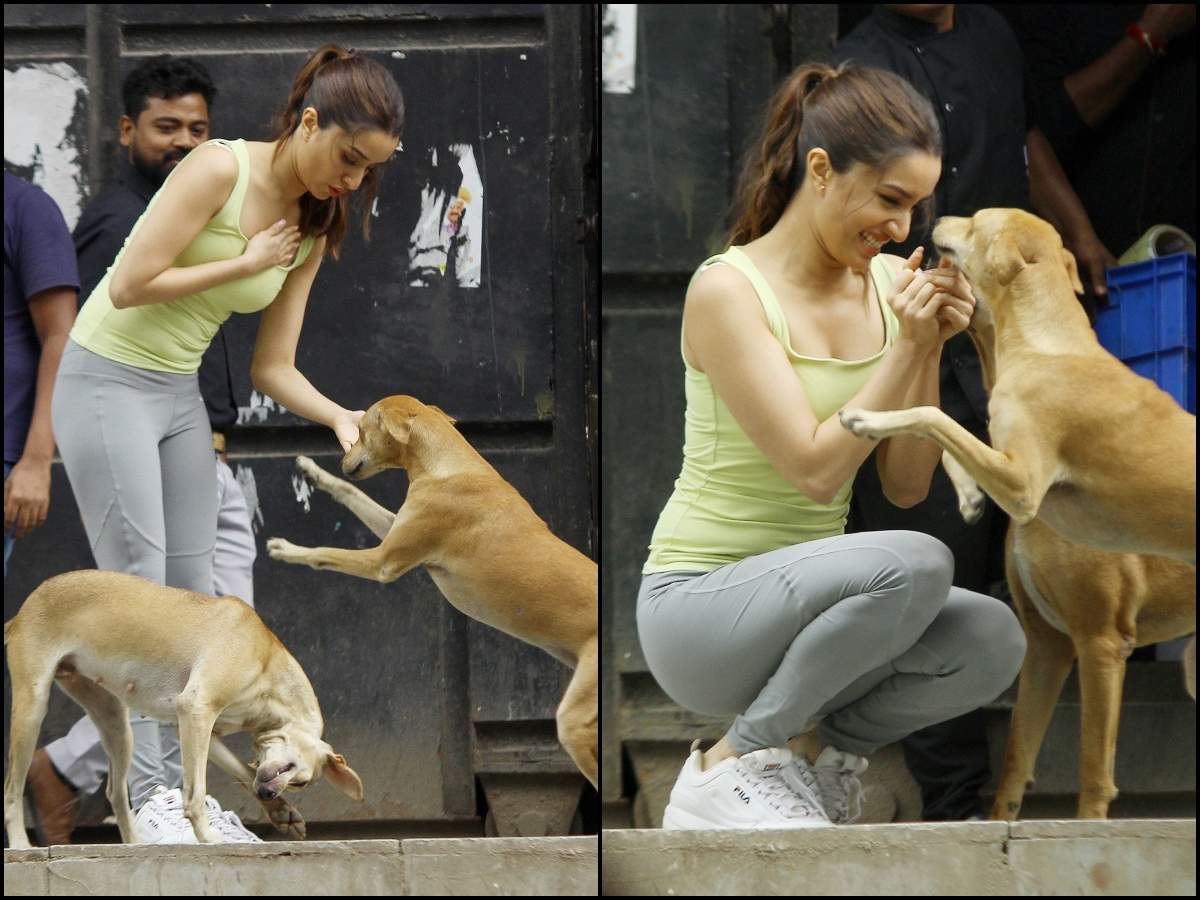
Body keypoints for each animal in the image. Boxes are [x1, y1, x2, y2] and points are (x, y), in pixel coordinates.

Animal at [4, 573, 360, 849]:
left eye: (300, 785)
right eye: (291, 769)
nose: (267, 793)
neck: (267, 661)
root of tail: (19, 614)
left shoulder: (204, 731)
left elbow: (242, 772)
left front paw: (282, 813)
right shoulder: (196, 710)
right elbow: (196, 792)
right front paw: (207, 836)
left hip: (116, 724)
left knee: (115, 793)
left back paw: (134, 845)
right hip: (31, 712)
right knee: (12, 791)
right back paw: (21, 845)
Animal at [265, 396, 597, 787]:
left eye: (361, 430)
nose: (344, 461)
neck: (448, 466)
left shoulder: (383, 562)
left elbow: (323, 553)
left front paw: (285, 549)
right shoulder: (394, 531)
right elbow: (352, 493)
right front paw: (313, 472)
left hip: (577, 718)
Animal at [840, 207, 1195, 566]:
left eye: (974, 224)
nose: (935, 219)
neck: (1043, 344)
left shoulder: (1022, 485)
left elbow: (931, 416)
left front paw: (867, 419)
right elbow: (949, 444)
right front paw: (970, 495)